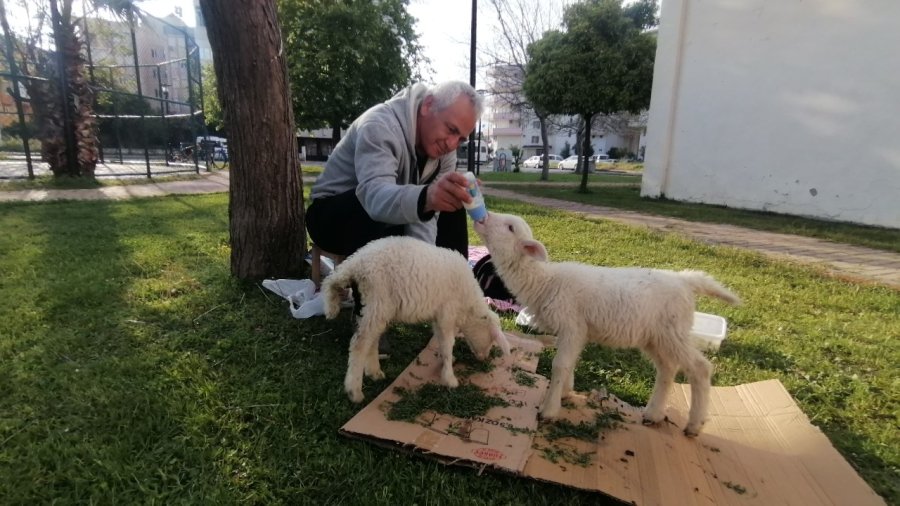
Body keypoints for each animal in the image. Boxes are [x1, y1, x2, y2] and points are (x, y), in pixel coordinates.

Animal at [322, 236, 506, 404]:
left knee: (371, 340)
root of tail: (356, 263)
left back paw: (374, 372)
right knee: (359, 344)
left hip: (376, 306)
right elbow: (448, 343)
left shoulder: (439, 316)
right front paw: (450, 378)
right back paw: (354, 391)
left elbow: (441, 340)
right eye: (492, 339)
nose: (484, 358)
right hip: (378, 299)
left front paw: (445, 361)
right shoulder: (447, 312)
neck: (468, 303)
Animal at [474, 211, 740, 436]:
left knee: (700, 368)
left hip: (673, 331)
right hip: (655, 336)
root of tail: (685, 280)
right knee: (668, 369)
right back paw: (653, 413)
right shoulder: (577, 330)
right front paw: (566, 392)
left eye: (510, 227)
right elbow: (570, 362)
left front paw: (549, 409)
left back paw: (694, 424)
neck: (546, 281)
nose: (482, 217)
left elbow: (560, 365)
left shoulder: (572, 325)